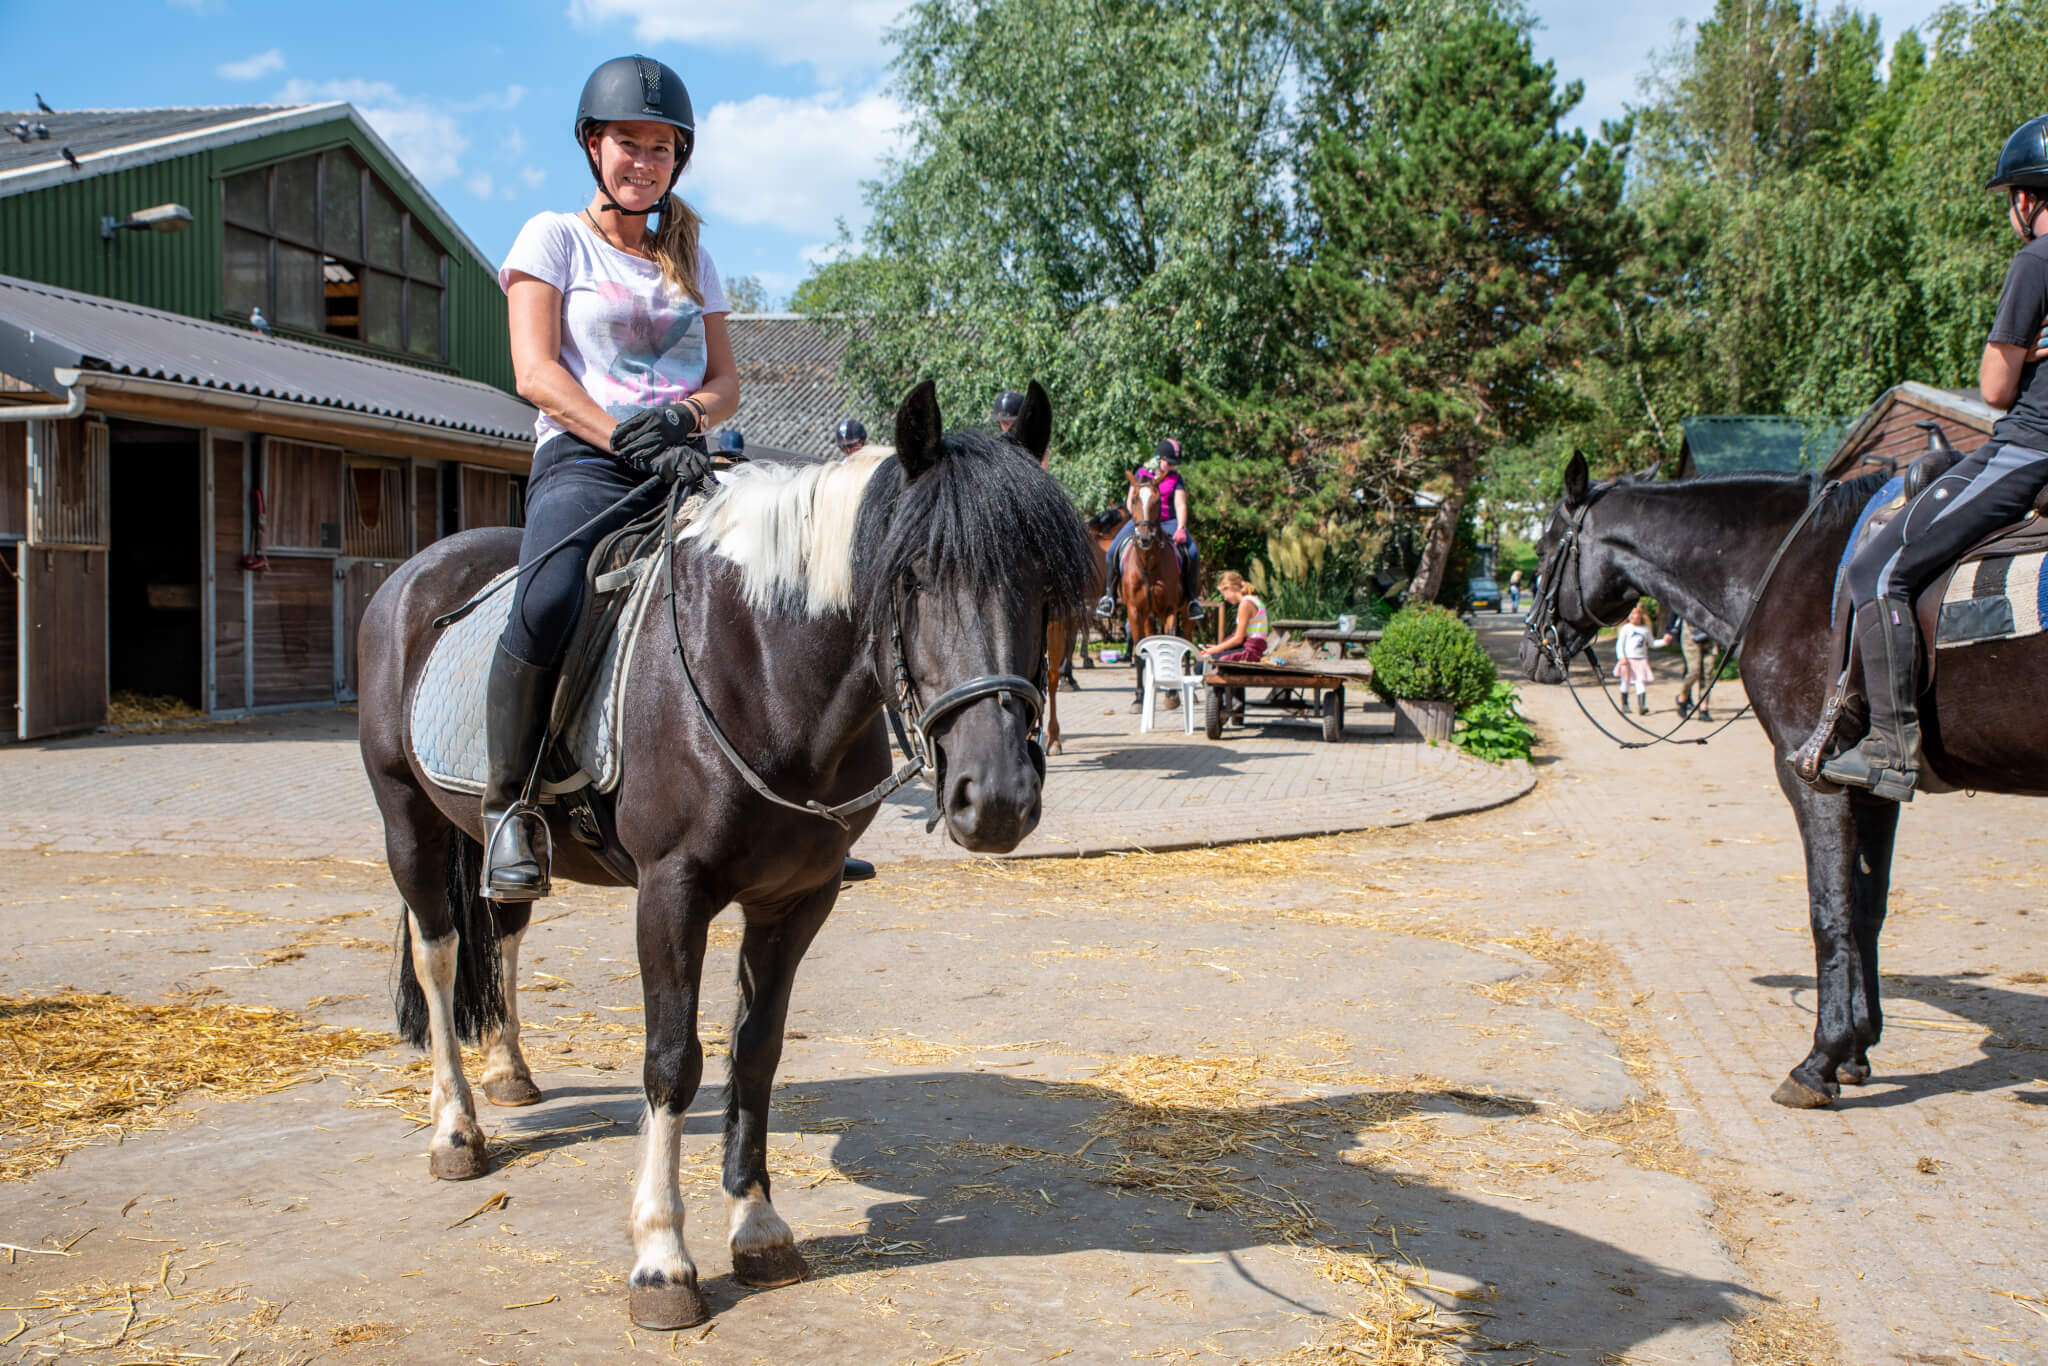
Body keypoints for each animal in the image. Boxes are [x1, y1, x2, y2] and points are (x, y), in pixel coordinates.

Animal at [356, 378, 1089, 1327]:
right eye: (913, 576)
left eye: (1042, 583)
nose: (995, 798)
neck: (763, 666)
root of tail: (413, 575)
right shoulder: (671, 892)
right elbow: (673, 1060)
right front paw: (662, 1259)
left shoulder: (799, 897)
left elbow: (755, 1051)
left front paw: (759, 1226)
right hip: (405, 814)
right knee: (440, 954)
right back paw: (456, 1129)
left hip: (498, 840)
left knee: (505, 928)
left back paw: (510, 1073)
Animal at [1515, 456, 2039, 1114]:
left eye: (1542, 549)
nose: (1530, 651)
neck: (1791, 565)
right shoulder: (1875, 787)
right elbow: (1866, 910)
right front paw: (1858, 1049)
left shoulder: (1812, 776)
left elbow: (1829, 910)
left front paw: (1822, 1060)